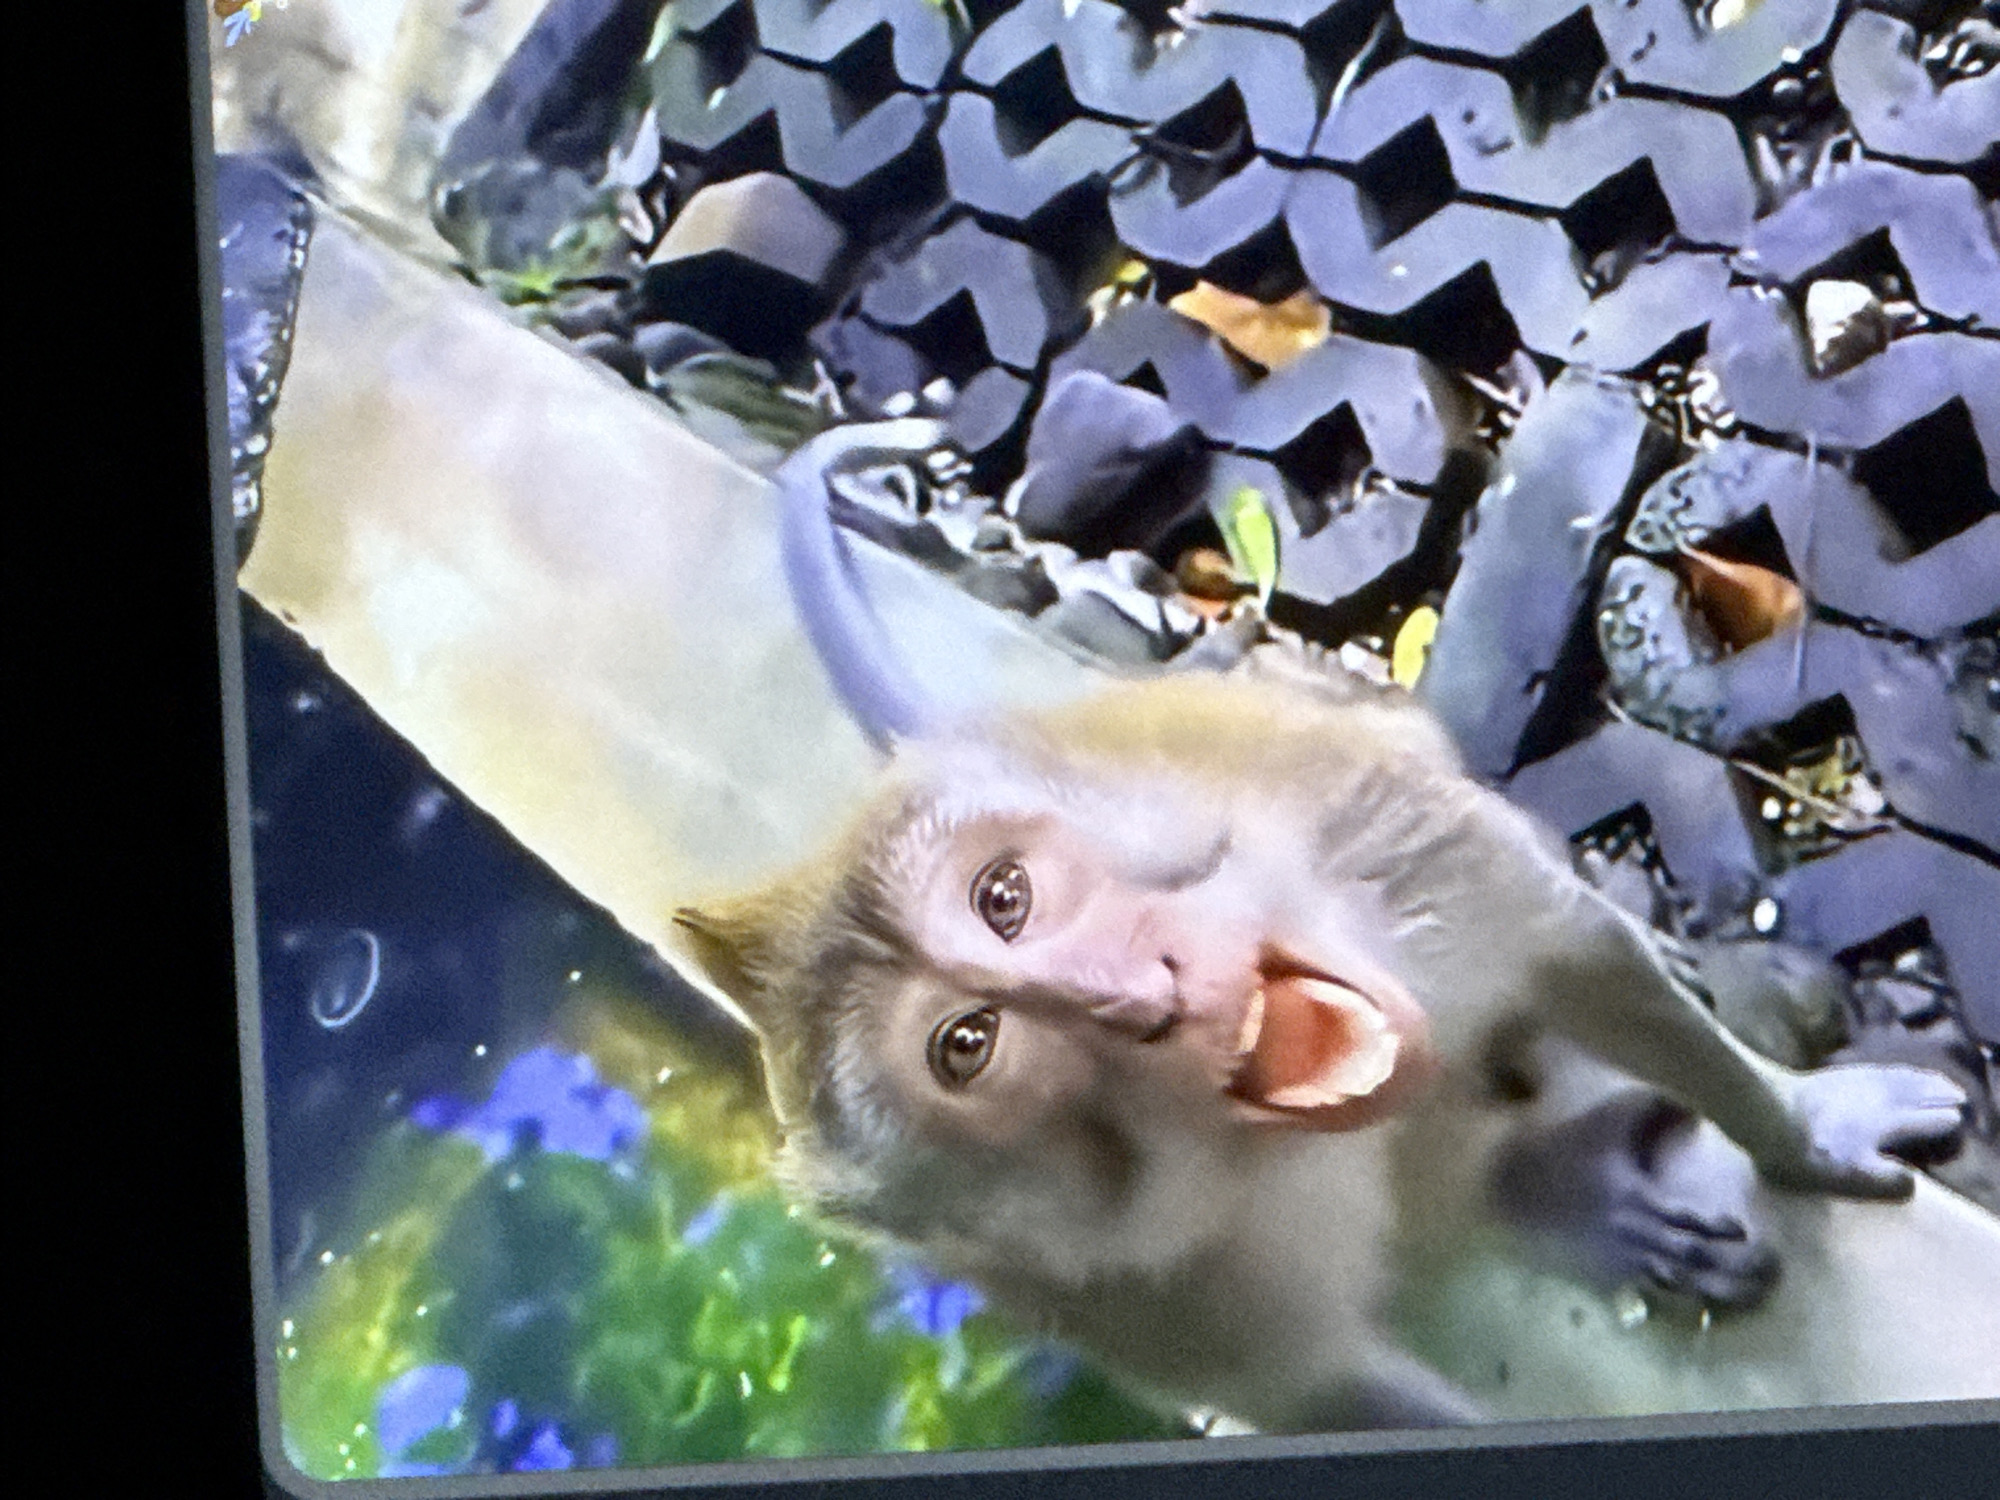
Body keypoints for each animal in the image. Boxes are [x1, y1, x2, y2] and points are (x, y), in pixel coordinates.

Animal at [669, 418, 1977, 1431]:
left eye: (1004, 899)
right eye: (966, 1045)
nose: (1134, 996)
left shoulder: (1370, 826)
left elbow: (1578, 954)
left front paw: (1807, 1130)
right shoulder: (1109, 1290)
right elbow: (1322, 1394)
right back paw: (1567, 1196)